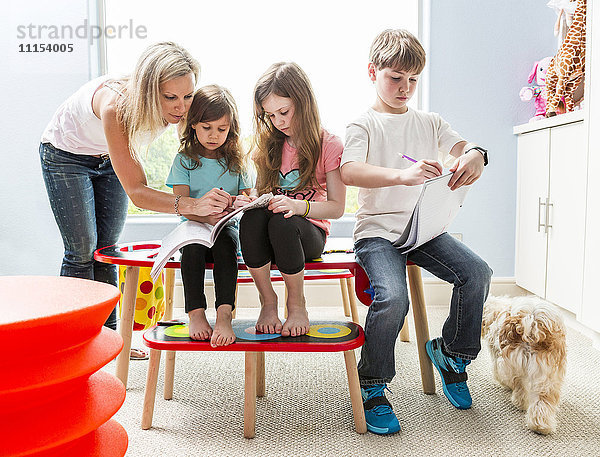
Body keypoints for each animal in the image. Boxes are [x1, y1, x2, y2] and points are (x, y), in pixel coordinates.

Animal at [482, 294, 568, 432]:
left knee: (519, 386)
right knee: (541, 399)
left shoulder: (497, 358)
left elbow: (498, 374)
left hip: (513, 366)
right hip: (546, 376)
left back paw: (521, 404)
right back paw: (540, 425)